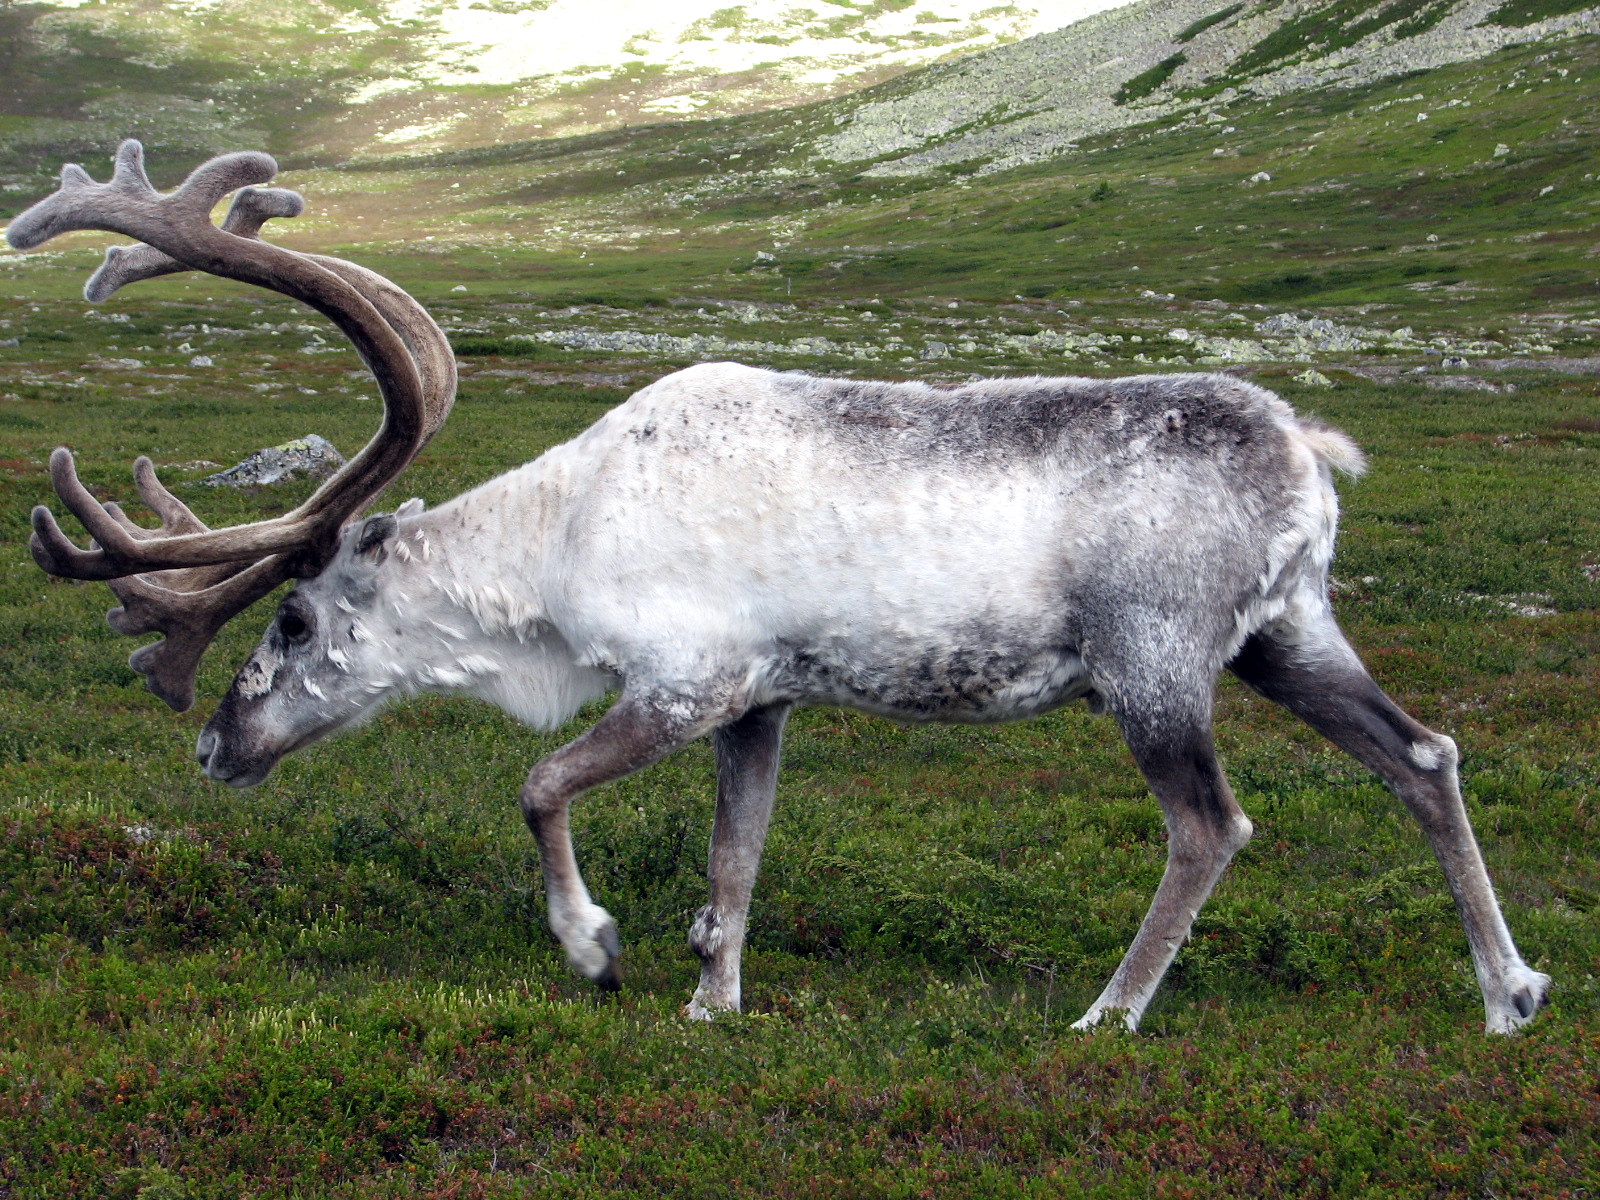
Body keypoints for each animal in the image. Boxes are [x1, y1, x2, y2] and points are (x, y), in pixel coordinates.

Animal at [8, 142, 1549, 1034]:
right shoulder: (763, 698)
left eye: (291, 615)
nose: (214, 746)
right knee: (1424, 754)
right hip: (1287, 631)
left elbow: (541, 786)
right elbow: (735, 857)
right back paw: (1510, 993)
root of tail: (1310, 449)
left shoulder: (684, 679)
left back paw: (1108, 1016)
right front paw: (714, 1001)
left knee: (1211, 823)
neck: (557, 551)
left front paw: (595, 950)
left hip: (1155, 655)